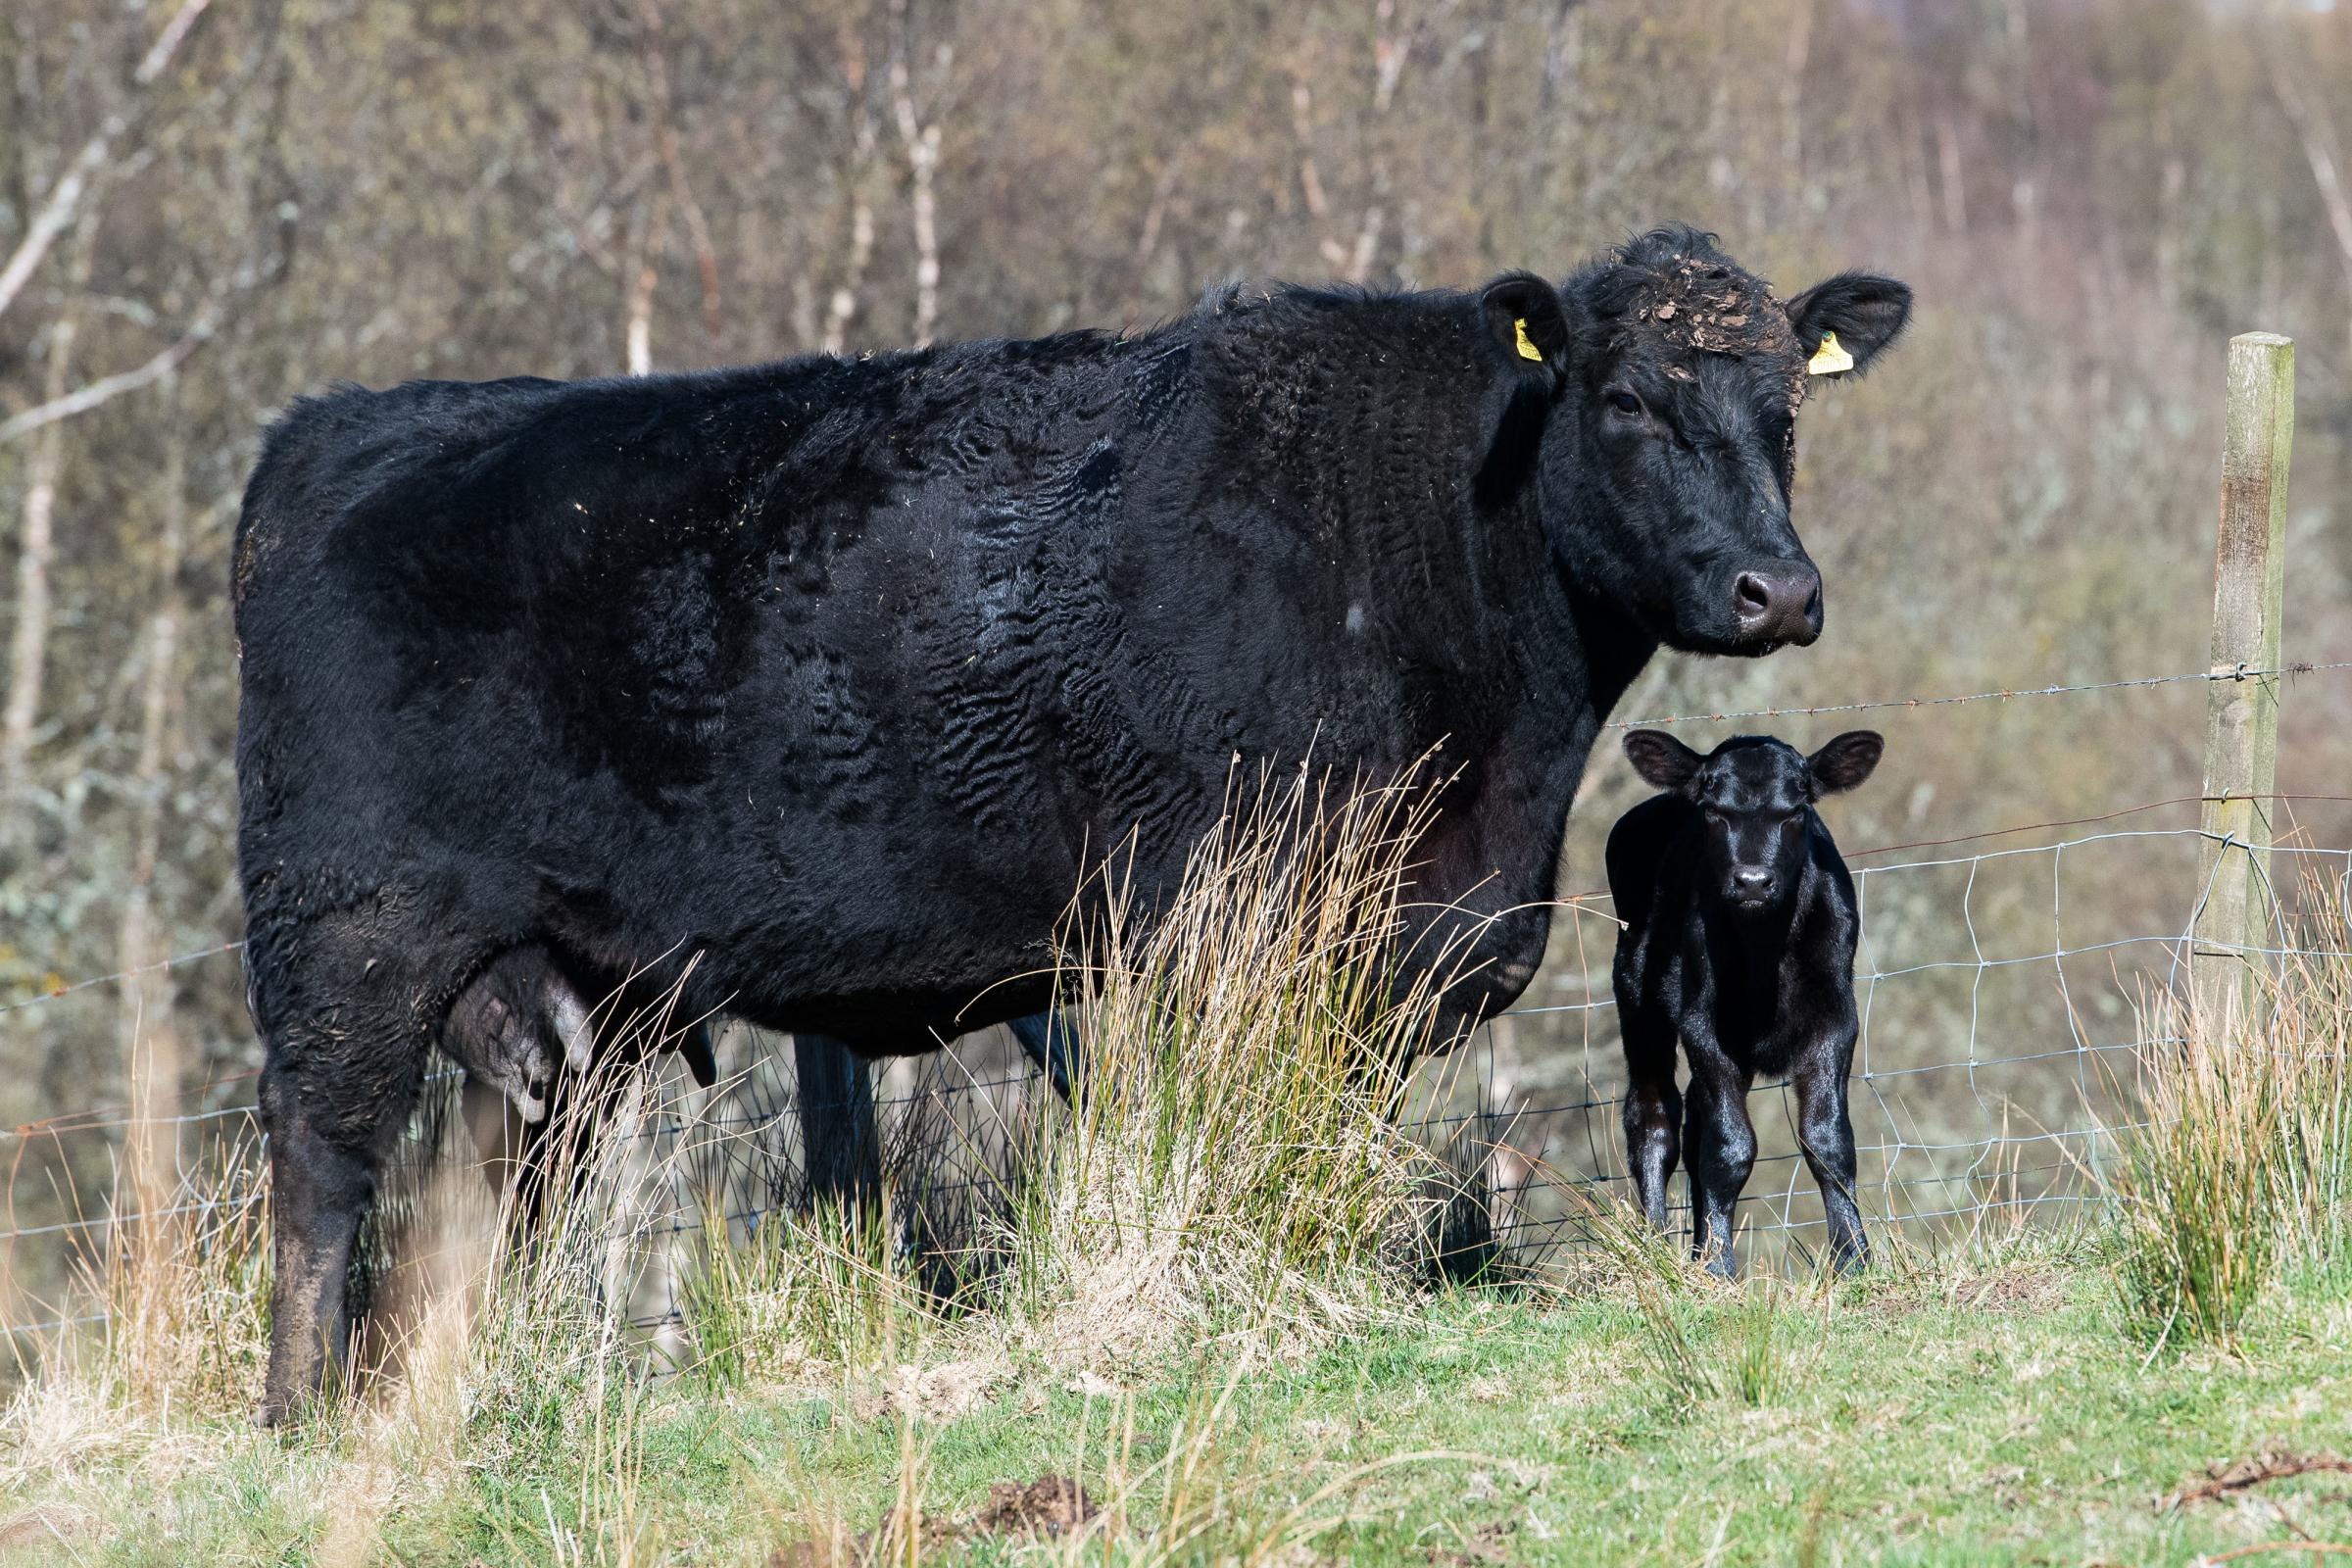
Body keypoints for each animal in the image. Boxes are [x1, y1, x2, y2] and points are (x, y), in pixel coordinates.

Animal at [1608, 728, 1882, 1278]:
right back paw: (1656, 1251)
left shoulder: (1836, 1019)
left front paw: (1854, 1260)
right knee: (1653, 1115)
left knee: (1692, 1119)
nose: (1753, 880)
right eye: (1714, 811)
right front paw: (1718, 1269)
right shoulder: (1703, 1025)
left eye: (1796, 809)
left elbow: (1829, 1142)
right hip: (1636, 994)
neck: (1764, 952)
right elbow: (1729, 1149)